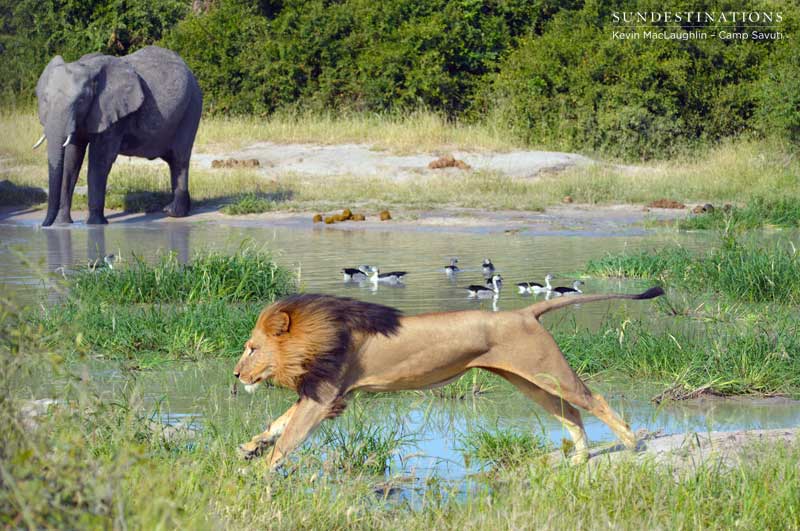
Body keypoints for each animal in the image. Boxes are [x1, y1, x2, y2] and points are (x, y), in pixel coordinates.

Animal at [234, 288, 664, 469]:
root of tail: (525, 312)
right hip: (530, 381)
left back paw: (631, 444)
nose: (237, 373)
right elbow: (279, 423)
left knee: (595, 401)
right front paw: (250, 448)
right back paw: (580, 457)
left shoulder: (324, 396)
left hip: (548, 371)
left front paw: (260, 473)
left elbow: (289, 438)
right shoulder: (322, 393)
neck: (316, 334)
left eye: (252, 348)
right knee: (570, 414)